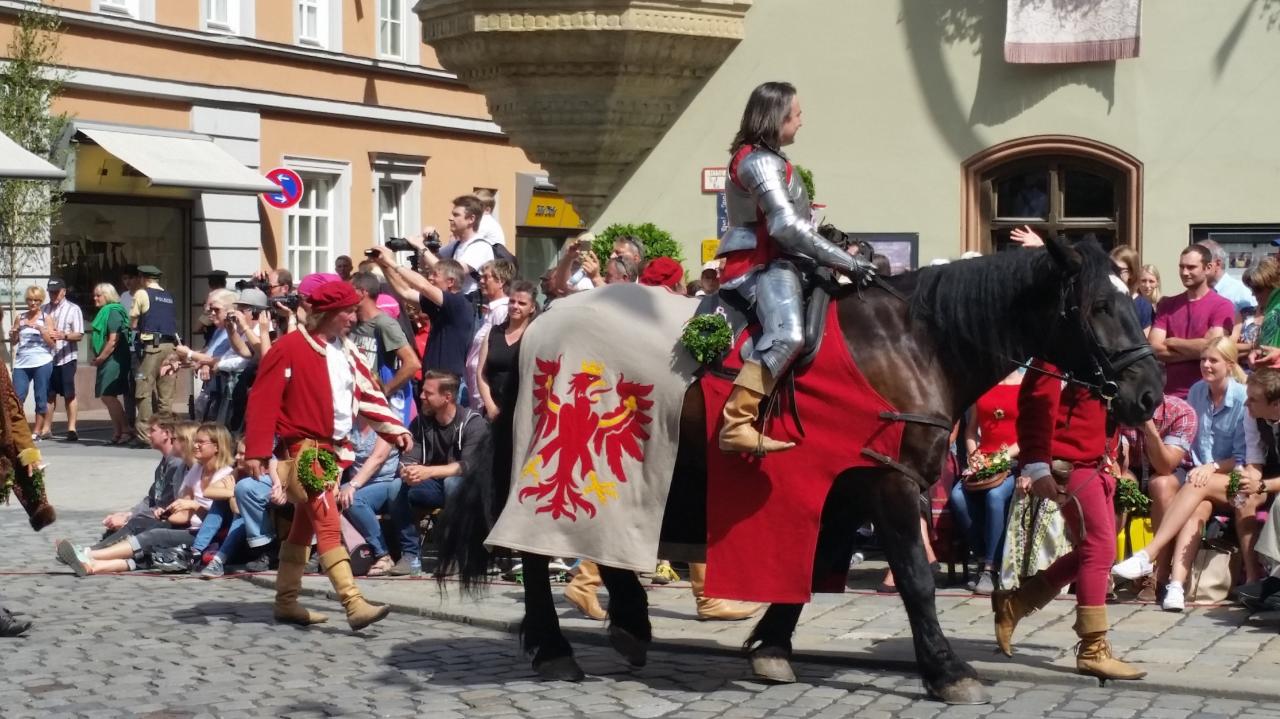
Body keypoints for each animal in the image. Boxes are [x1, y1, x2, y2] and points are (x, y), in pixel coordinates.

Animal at [435, 234, 1167, 701]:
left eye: (1132, 299)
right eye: (1100, 306)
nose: (1148, 394)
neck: (915, 343)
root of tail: (539, 320)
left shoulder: (840, 488)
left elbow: (811, 575)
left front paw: (771, 648)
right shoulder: (886, 483)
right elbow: (915, 578)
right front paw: (945, 668)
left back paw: (628, 624)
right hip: (564, 454)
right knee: (537, 546)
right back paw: (556, 645)